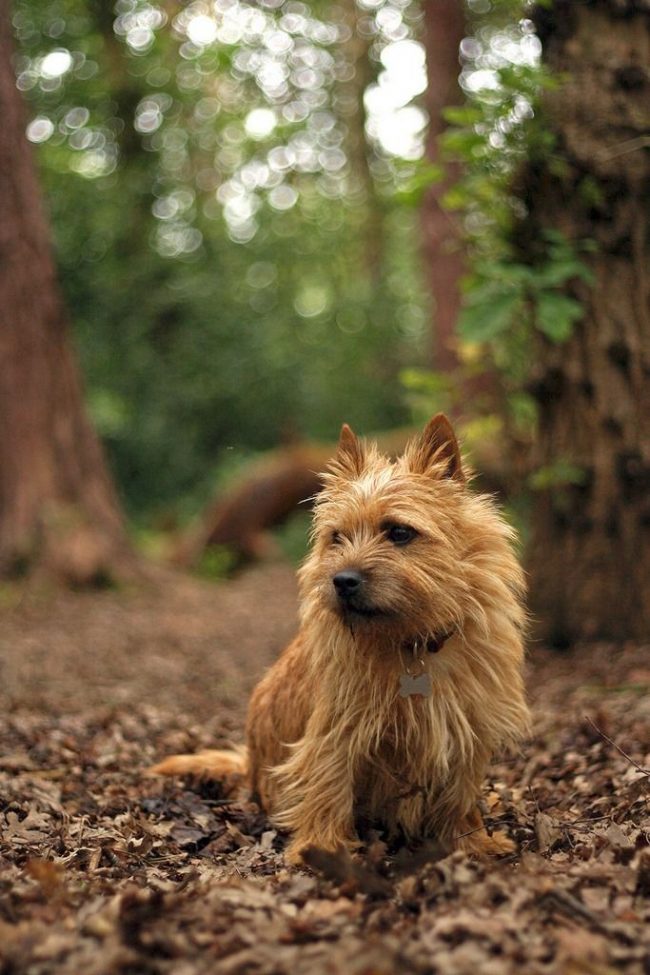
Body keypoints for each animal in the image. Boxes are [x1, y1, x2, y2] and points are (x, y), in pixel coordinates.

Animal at [152, 416, 528, 864]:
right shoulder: (338, 727)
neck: (412, 642)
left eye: (399, 532)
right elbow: (329, 784)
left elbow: (459, 794)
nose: (342, 580)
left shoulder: (468, 727)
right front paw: (323, 850)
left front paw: (471, 841)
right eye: (337, 536)